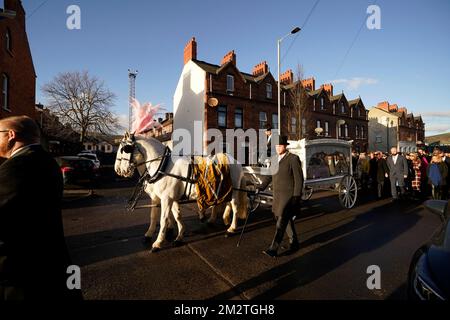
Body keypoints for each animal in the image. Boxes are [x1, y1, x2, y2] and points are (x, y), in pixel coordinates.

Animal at [112, 132, 246, 252]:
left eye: (124, 149)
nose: (118, 170)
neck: (163, 166)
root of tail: (235, 161)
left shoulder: (166, 198)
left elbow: (164, 219)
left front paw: (158, 242)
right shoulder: (162, 198)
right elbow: (166, 216)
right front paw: (176, 236)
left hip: (233, 190)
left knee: (235, 206)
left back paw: (231, 228)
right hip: (222, 189)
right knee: (224, 203)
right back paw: (220, 219)